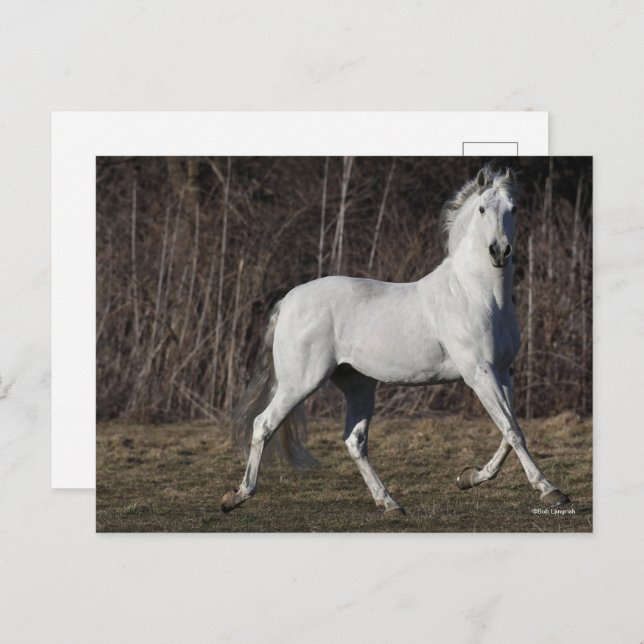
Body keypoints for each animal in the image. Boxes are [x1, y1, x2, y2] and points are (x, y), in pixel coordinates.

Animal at [221, 166, 571, 516]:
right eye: (483, 209)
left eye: (514, 208)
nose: (499, 251)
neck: (477, 296)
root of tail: (287, 301)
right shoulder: (479, 373)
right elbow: (512, 431)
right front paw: (550, 491)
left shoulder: (503, 372)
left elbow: (509, 432)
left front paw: (468, 478)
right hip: (300, 382)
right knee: (263, 424)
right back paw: (236, 496)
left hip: (358, 384)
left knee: (354, 441)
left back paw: (389, 503)